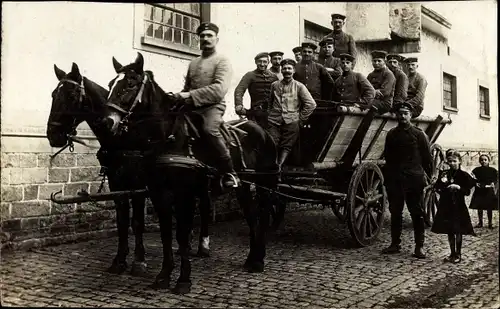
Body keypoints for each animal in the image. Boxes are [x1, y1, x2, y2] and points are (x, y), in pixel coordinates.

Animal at [103, 51, 280, 292]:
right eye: (111, 84)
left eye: (130, 83)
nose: (106, 122)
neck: (169, 136)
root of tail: (261, 131)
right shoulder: (159, 194)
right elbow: (166, 234)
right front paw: (164, 276)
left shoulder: (184, 194)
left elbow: (182, 234)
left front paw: (183, 280)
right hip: (244, 187)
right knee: (252, 217)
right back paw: (252, 259)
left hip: (261, 185)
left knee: (259, 216)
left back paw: (259, 260)